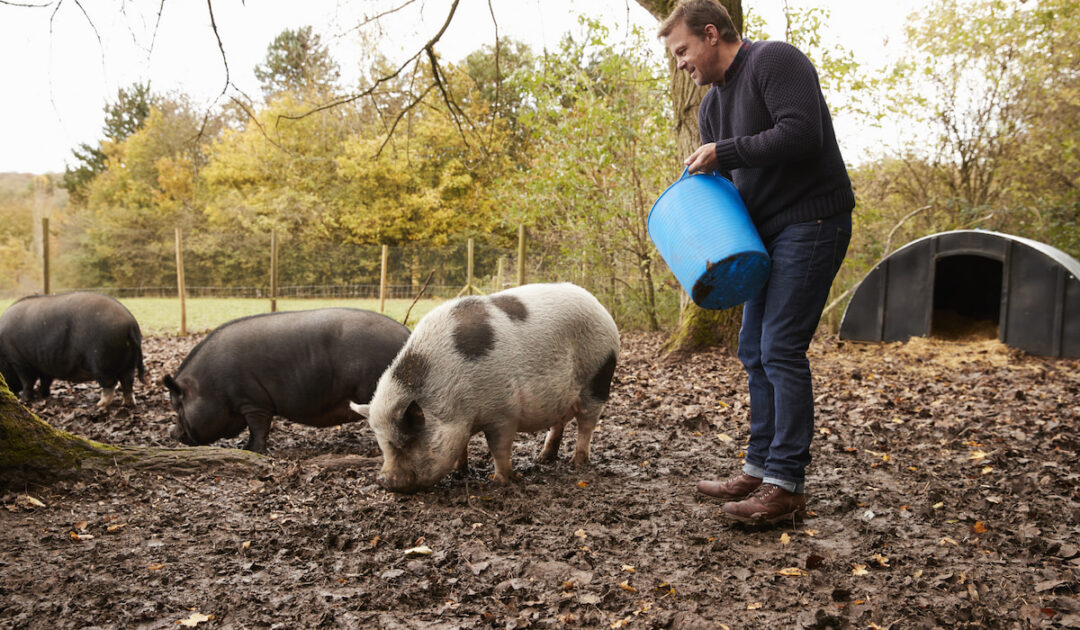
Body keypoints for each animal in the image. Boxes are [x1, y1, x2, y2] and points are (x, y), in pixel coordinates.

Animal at [0, 291, 146, 407]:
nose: (13, 392)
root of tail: (131, 325)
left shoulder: (19, 361)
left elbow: (27, 381)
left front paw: (24, 399)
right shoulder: (45, 365)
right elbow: (45, 381)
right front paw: (44, 395)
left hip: (102, 360)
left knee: (111, 383)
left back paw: (100, 404)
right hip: (129, 361)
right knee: (128, 381)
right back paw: (127, 404)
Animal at [163, 308, 410, 453]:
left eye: (178, 406)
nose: (172, 433)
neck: (211, 387)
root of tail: (407, 332)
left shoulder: (253, 401)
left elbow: (259, 428)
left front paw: (252, 451)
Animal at [351, 282, 620, 493]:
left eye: (406, 441)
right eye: (382, 444)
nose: (383, 481)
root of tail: (600, 307)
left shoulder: (504, 412)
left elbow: (499, 448)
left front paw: (501, 481)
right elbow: (462, 447)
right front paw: (460, 471)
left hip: (598, 377)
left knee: (587, 424)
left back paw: (577, 463)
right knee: (558, 423)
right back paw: (543, 458)